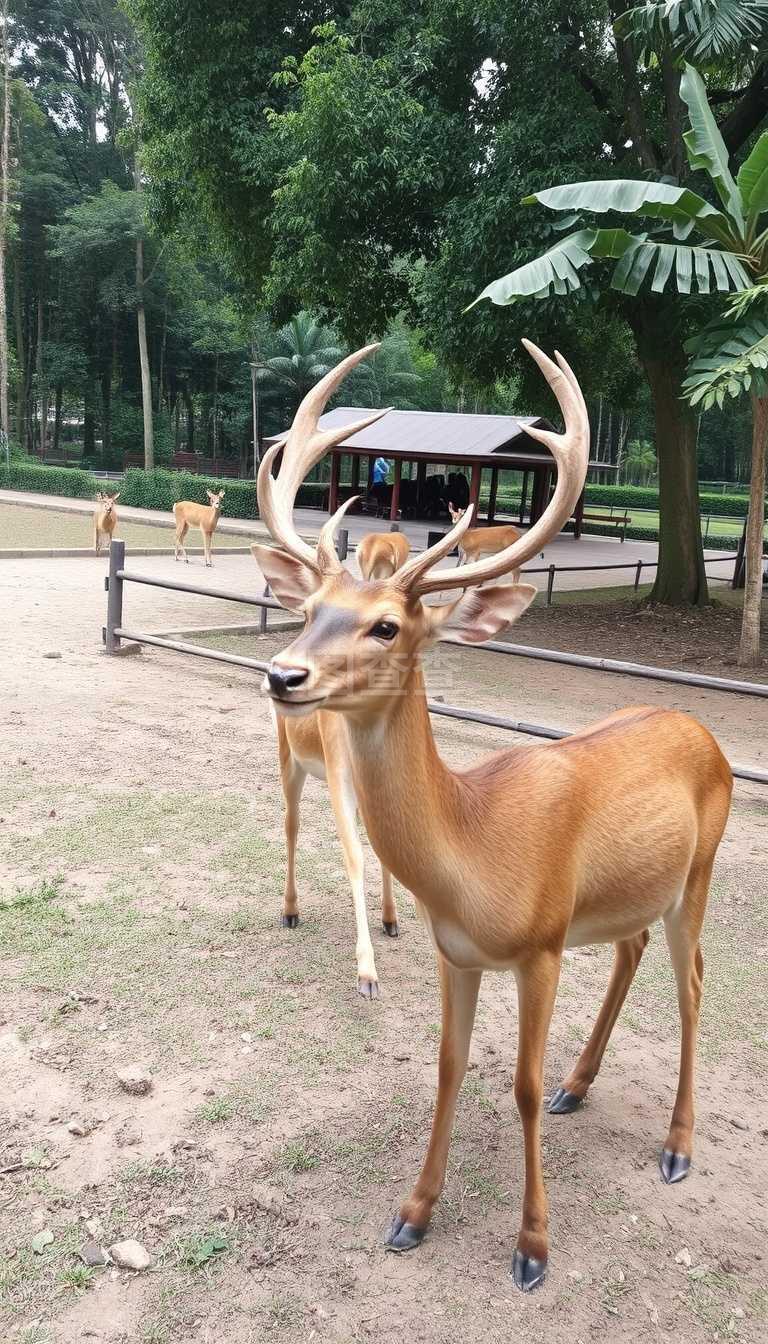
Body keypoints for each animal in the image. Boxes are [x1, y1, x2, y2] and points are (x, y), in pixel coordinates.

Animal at [258, 530, 412, 999]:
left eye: (387, 627)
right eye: (310, 613)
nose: (283, 677)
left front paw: (391, 920)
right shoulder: (339, 776)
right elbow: (354, 856)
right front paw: (367, 974)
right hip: (289, 759)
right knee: (291, 824)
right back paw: (290, 910)